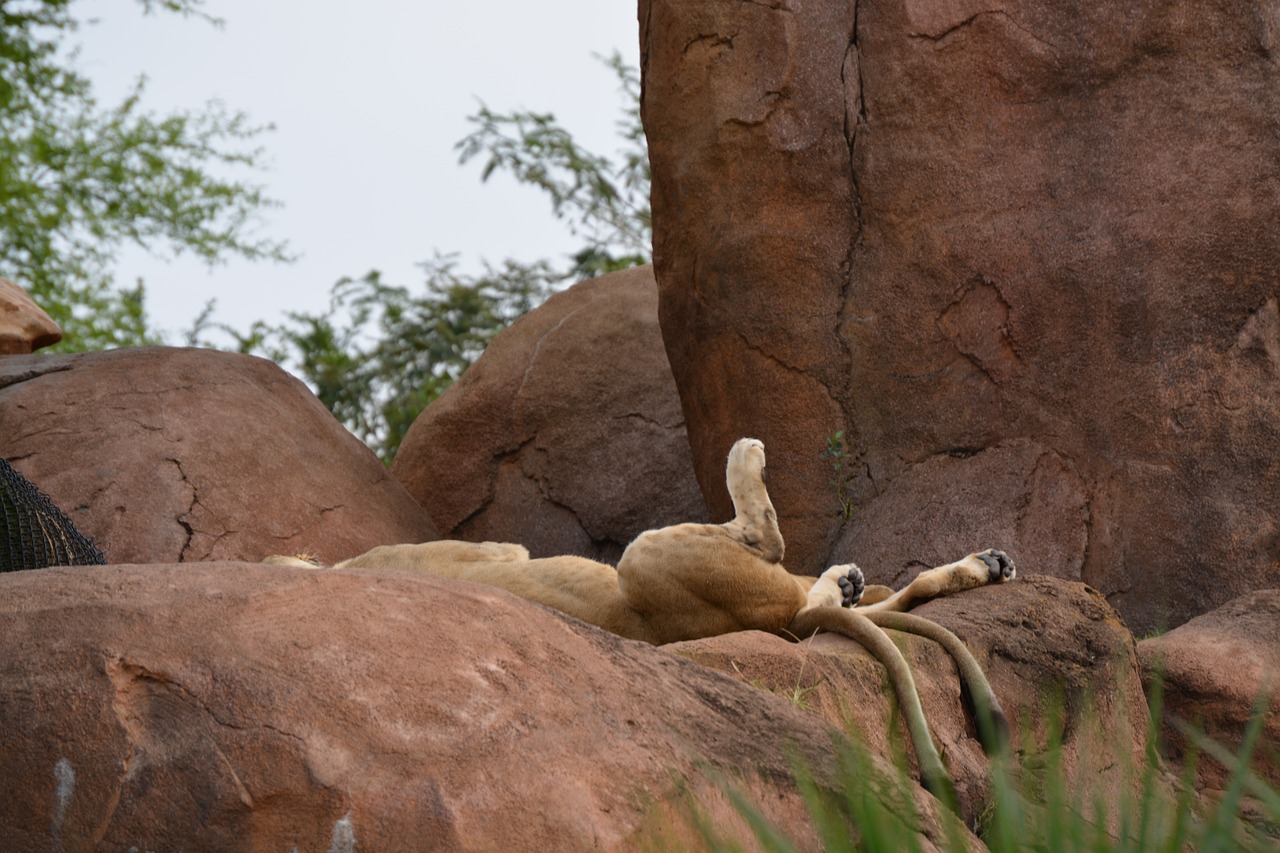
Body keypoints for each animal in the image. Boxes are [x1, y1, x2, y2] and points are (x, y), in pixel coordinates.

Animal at [267, 438, 1008, 799]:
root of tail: (774, 619)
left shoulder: (489, 551)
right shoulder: (486, 551)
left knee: (871, 598)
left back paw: (982, 565)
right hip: (654, 553)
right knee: (792, 569)